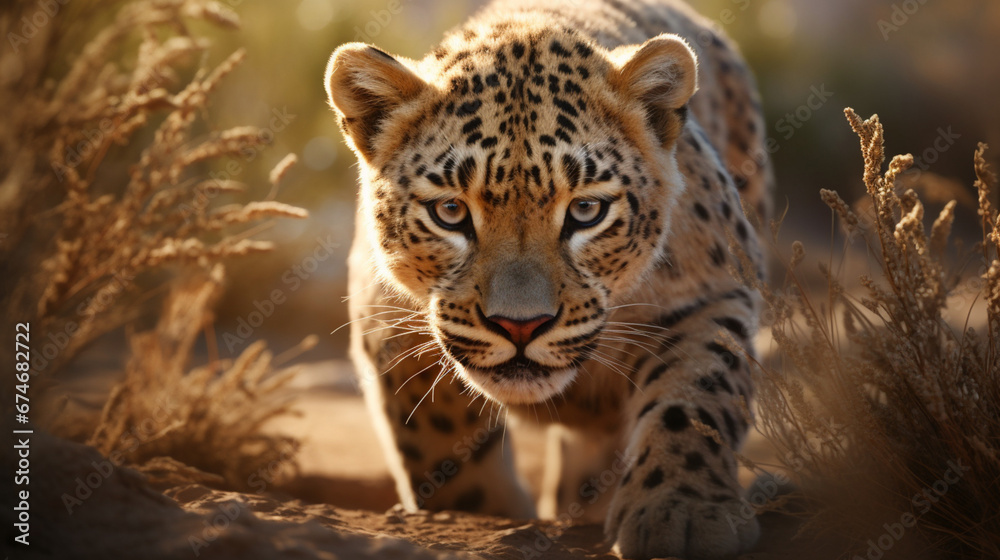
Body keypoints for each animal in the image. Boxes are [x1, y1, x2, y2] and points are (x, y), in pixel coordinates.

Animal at [324, 0, 772, 558]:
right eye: (450, 212)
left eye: (586, 210)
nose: (521, 326)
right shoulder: (386, 323)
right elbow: (440, 451)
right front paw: (486, 515)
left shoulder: (712, 292)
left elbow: (695, 395)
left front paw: (683, 509)